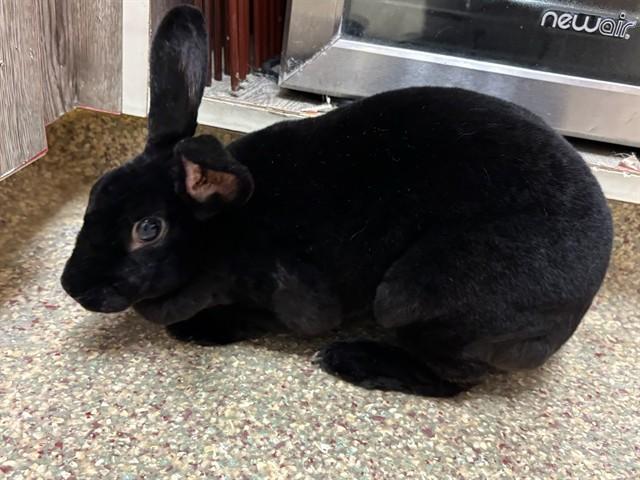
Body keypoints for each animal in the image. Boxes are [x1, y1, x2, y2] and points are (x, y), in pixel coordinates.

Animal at [61, 6, 613, 397]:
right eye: (96, 190)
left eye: (148, 229)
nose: (72, 286)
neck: (223, 232)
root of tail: (576, 308)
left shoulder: (295, 298)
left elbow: (260, 318)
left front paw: (199, 329)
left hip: (415, 297)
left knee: (453, 379)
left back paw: (352, 362)